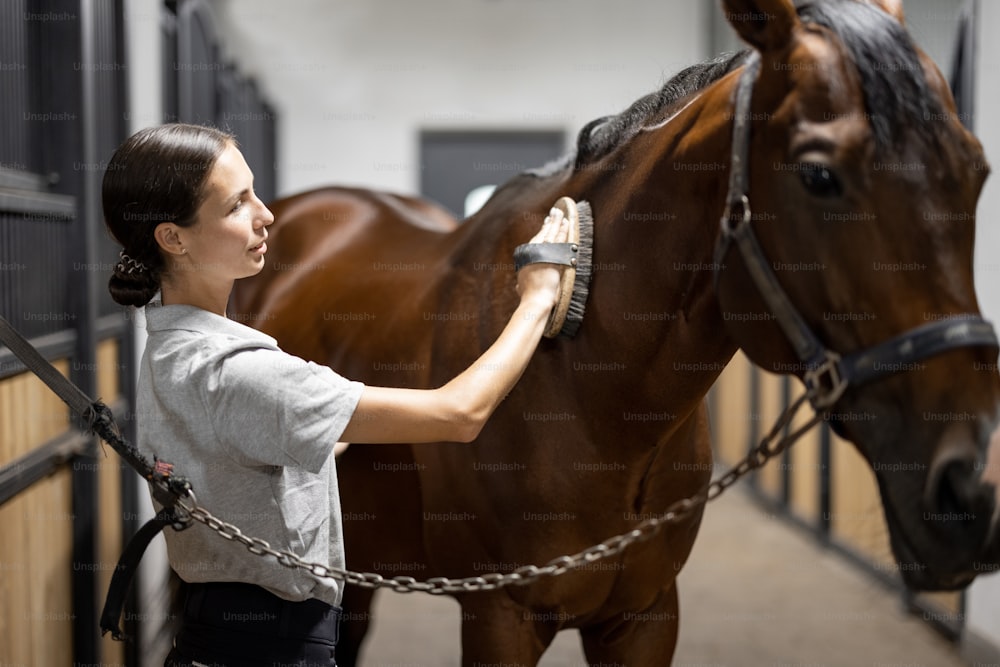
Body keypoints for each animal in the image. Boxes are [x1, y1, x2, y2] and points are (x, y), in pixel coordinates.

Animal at [230, 2, 1000, 664]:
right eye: (818, 175)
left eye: (976, 170)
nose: (970, 489)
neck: (588, 393)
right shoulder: (500, 615)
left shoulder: (646, 615)